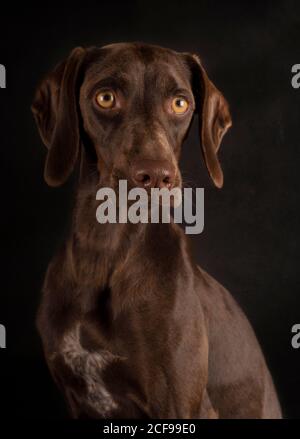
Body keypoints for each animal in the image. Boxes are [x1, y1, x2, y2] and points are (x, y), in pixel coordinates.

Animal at [31, 41, 282, 420]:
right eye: (105, 98)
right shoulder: (77, 398)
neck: (104, 251)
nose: (157, 176)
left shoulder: (179, 403)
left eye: (180, 103)